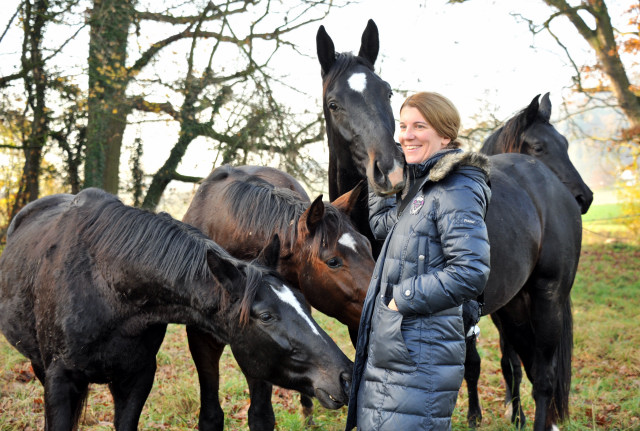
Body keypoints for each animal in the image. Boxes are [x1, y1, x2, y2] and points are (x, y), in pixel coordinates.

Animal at [0, 188, 352, 431]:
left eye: (304, 302)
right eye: (266, 316)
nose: (346, 376)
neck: (105, 284)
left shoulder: (138, 378)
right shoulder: (59, 380)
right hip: (38, 366)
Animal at [316, 19, 592, 431]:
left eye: (387, 93)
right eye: (334, 104)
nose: (391, 170)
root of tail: (551, 186)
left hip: (548, 298)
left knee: (543, 378)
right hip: (516, 303)